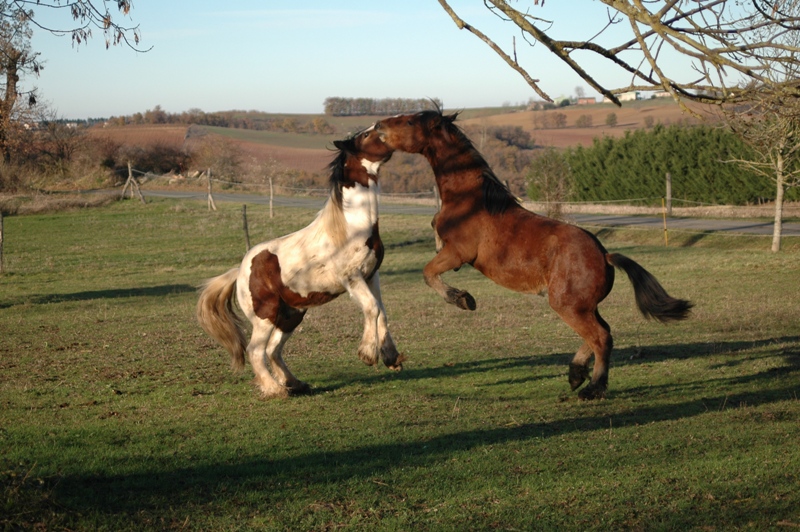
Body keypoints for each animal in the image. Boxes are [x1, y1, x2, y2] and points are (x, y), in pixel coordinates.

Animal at [197, 127, 404, 396]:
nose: (391, 134)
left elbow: (382, 311)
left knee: (273, 350)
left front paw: (391, 357)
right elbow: (372, 308)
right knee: (255, 350)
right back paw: (275, 389)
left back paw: (294, 383)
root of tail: (240, 271)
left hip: (290, 316)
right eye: (367, 135)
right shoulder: (352, 278)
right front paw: (368, 354)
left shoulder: (372, 275)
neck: (351, 228)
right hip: (266, 316)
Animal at [372, 111, 692, 400]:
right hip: (582, 306)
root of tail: (604, 254)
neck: (471, 200)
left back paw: (592, 389)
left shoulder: (457, 254)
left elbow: (428, 273)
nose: (378, 126)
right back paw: (576, 374)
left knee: (601, 338)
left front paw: (463, 300)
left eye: (410, 121)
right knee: (602, 333)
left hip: (568, 306)